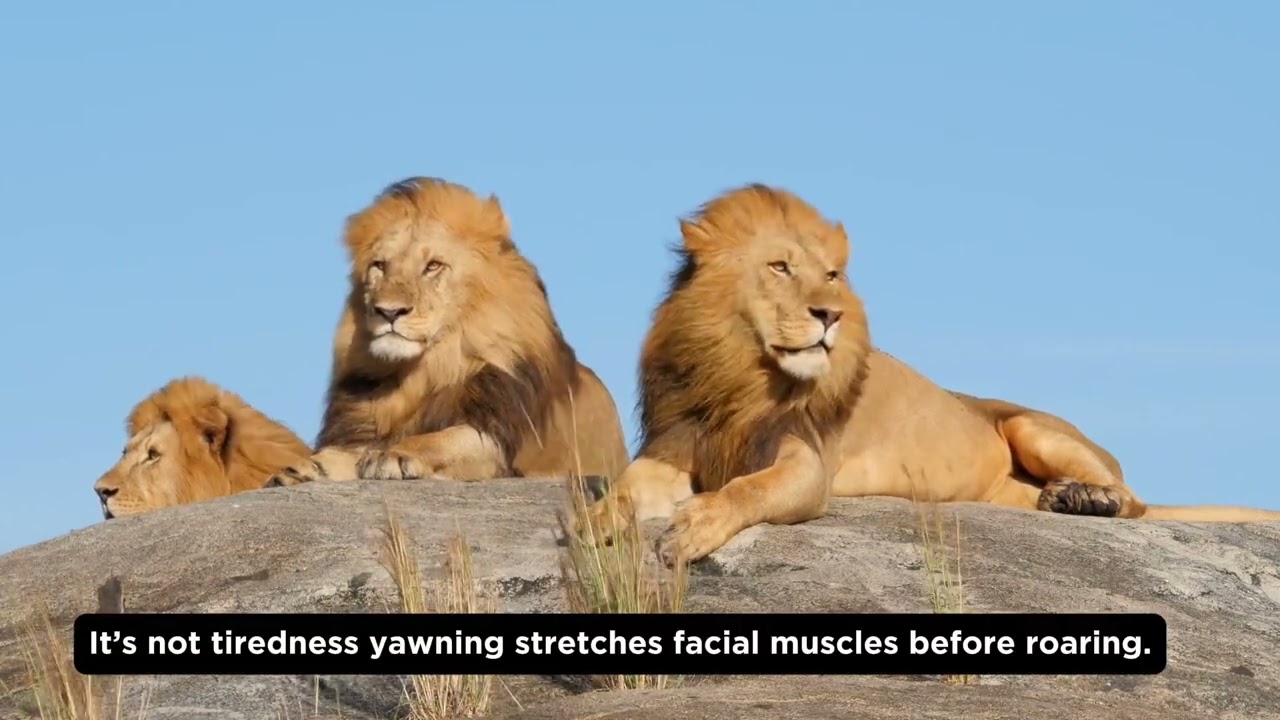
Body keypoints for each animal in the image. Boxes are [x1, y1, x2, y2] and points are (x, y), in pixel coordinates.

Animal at [263, 176, 629, 489]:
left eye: (433, 266)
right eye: (379, 266)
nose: (389, 312)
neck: (423, 371)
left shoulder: (494, 438)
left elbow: (441, 439)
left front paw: (394, 454)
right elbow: (344, 453)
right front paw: (305, 468)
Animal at [588, 183, 1280, 565]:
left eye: (832, 275)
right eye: (779, 267)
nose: (831, 315)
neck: (742, 370)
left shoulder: (808, 466)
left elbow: (745, 491)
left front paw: (693, 527)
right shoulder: (676, 444)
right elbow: (626, 488)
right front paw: (595, 523)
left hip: (1034, 427)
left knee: (1135, 501)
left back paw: (1089, 499)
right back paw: (1062, 501)